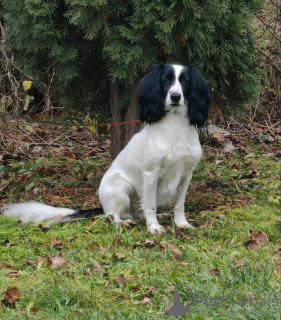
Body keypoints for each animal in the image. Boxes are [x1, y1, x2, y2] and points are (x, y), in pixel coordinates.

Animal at [1, 64, 209, 235]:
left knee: (136, 213)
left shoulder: (186, 173)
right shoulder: (151, 174)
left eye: (185, 81)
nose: (175, 97)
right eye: (166, 80)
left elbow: (179, 204)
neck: (175, 126)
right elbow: (149, 205)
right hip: (122, 187)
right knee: (114, 216)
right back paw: (125, 222)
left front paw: (181, 223)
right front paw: (154, 227)